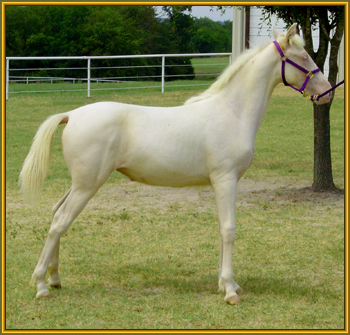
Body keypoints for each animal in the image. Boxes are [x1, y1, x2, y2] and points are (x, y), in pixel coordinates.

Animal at [19, 25, 330, 306]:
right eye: (304, 57)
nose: (328, 92)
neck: (232, 112)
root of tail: (71, 114)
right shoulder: (226, 179)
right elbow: (229, 230)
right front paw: (230, 290)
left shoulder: (221, 183)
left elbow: (221, 229)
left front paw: (225, 283)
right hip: (87, 184)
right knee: (60, 222)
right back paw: (41, 285)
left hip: (80, 183)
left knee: (56, 213)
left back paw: (55, 278)